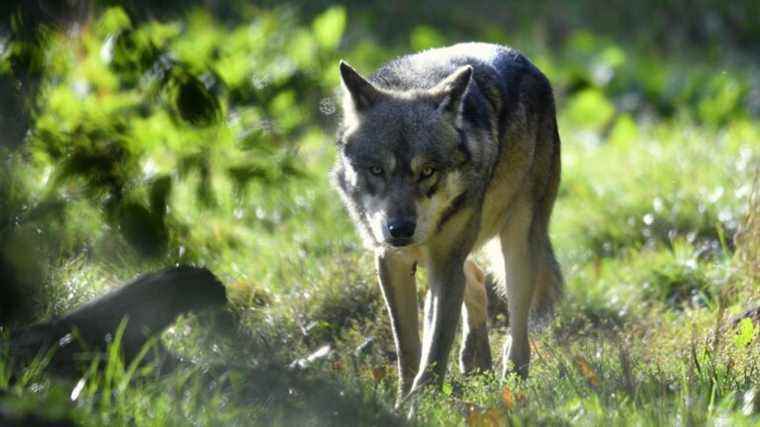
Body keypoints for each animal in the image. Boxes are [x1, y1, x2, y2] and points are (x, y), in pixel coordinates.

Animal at [330, 41, 560, 402]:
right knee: (475, 280)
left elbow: (435, 351)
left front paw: (422, 404)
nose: (400, 229)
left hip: (516, 250)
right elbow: (409, 348)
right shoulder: (391, 260)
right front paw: (401, 402)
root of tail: (529, 63)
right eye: (377, 170)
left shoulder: (445, 263)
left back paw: (512, 385)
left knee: (517, 331)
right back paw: (476, 362)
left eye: (427, 171)